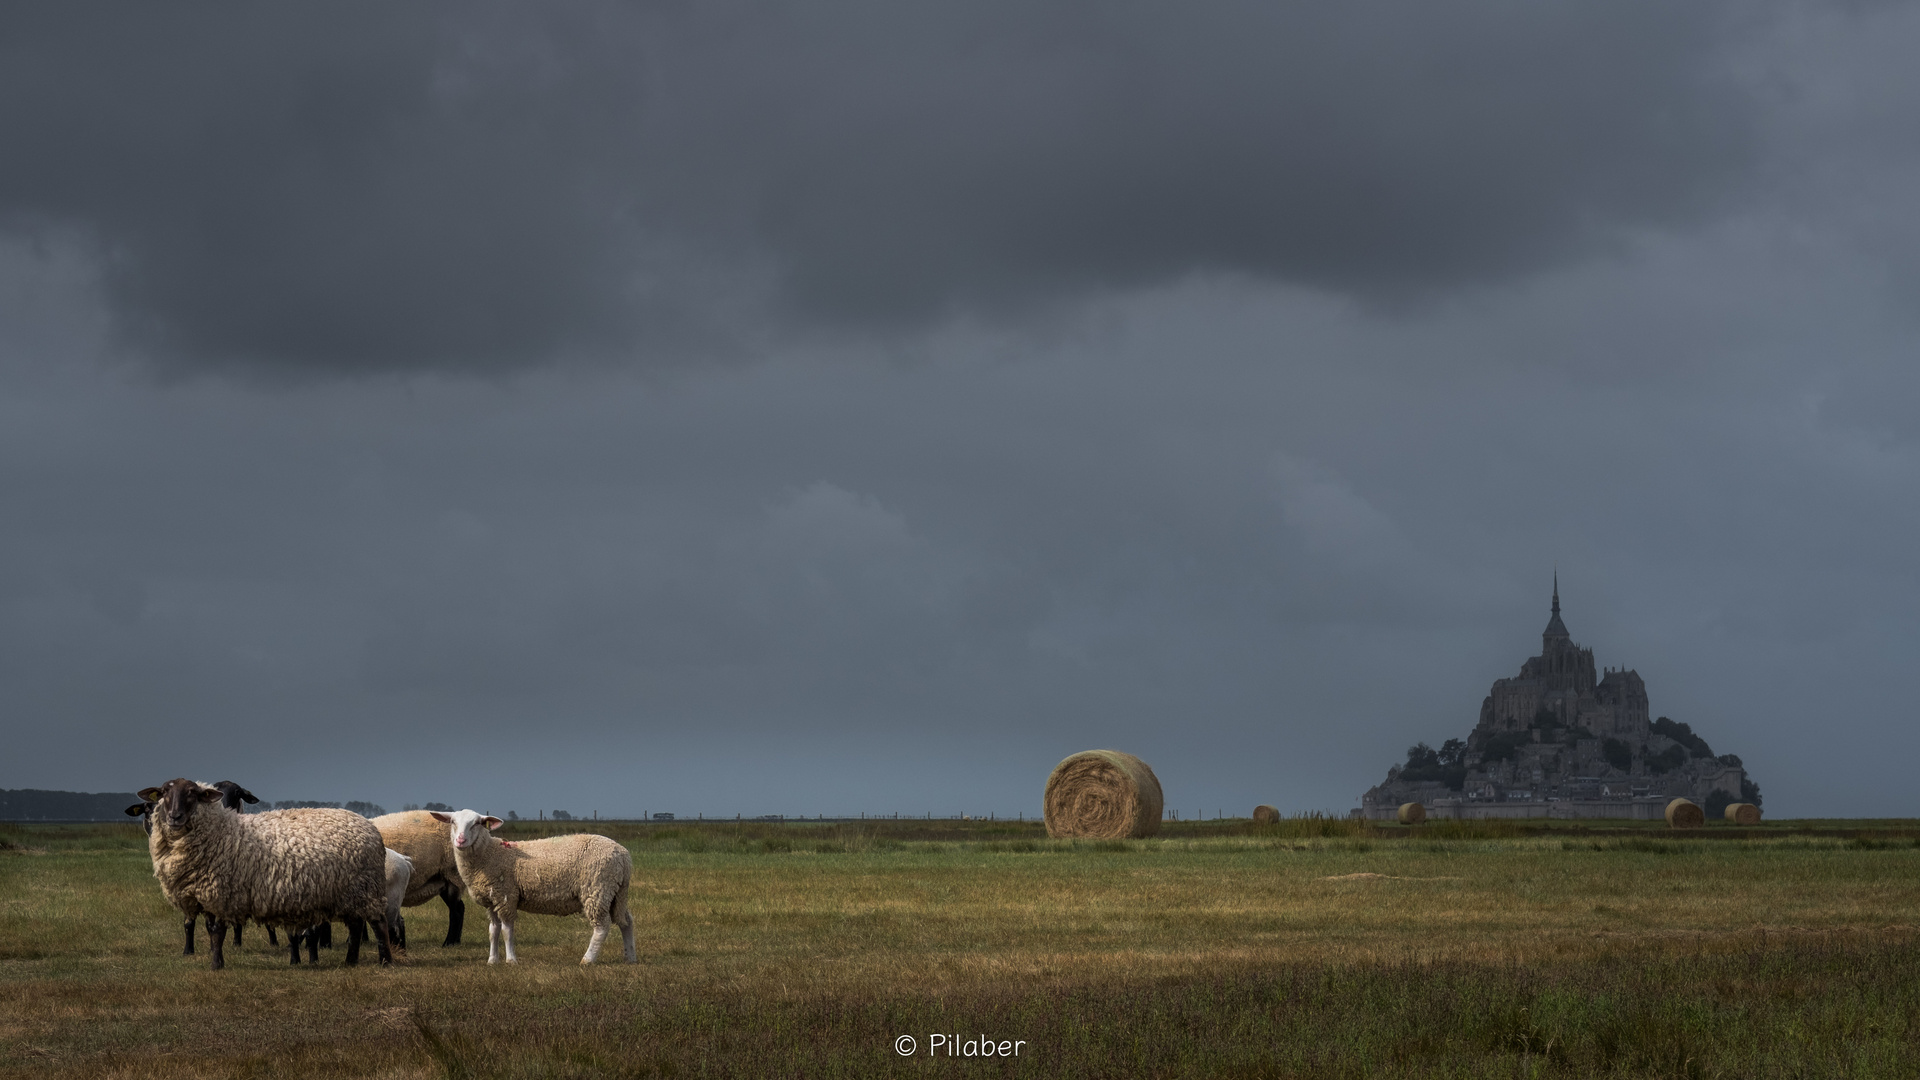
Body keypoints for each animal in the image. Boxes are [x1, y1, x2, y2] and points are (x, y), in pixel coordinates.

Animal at [144, 772, 399, 968]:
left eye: (192, 793)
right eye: (164, 792)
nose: (174, 816)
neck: (220, 830)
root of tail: (369, 826)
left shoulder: (222, 894)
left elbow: (217, 932)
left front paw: (216, 965)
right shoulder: (205, 895)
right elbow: (210, 930)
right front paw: (216, 961)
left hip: (367, 888)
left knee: (378, 924)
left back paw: (385, 961)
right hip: (349, 892)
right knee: (356, 926)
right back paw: (350, 961)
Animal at [430, 807, 633, 968]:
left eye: (477, 823)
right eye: (453, 822)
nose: (460, 840)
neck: (489, 854)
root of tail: (623, 855)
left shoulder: (506, 896)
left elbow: (507, 931)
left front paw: (511, 960)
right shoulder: (492, 901)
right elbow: (493, 931)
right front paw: (492, 961)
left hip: (597, 889)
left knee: (601, 927)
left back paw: (588, 959)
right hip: (616, 893)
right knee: (627, 921)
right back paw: (630, 956)